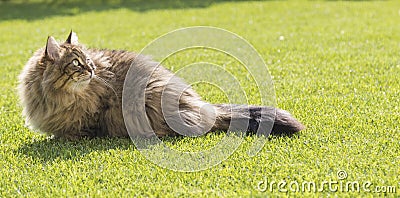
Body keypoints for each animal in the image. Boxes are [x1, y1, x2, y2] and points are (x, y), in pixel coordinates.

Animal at [17, 31, 304, 140]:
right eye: (76, 64)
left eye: (87, 61)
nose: (91, 70)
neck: (52, 97)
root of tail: (204, 107)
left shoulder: (94, 113)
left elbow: (77, 128)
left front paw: (62, 136)